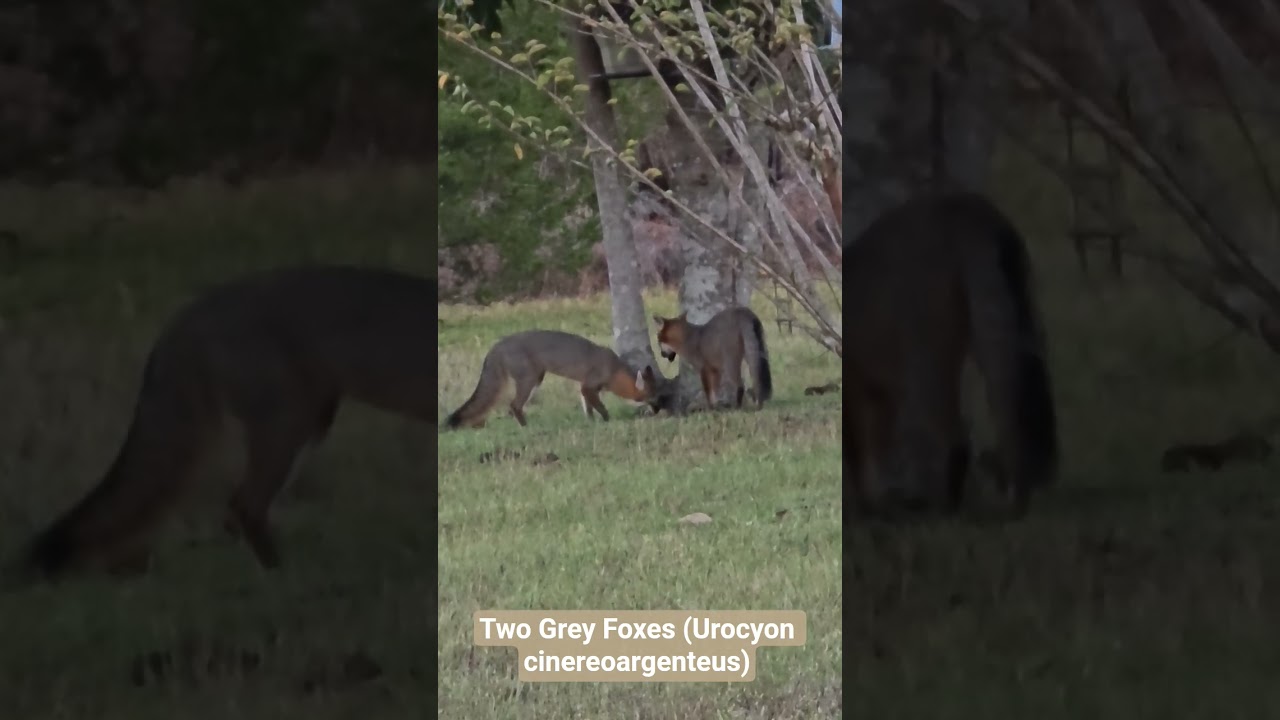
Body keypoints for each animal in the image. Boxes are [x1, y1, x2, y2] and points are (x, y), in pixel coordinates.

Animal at [14, 264, 435, 581]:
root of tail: (189, 311)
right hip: (289, 427)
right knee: (241, 507)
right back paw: (284, 579)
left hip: (310, 424)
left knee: (237, 513)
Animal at [443, 330, 659, 428]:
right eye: (652, 397)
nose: (658, 410)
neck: (614, 369)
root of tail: (497, 345)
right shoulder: (588, 386)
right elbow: (600, 407)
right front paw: (606, 420)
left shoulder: (585, 387)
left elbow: (588, 407)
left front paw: (590, 421)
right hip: (530, 380)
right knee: (513, 405)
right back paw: (526, 427)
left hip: (537, 380)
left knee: (513, 407)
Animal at [843, 191, 1059, 518]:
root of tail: (967, 208)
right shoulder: (881, 393)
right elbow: (877, 446)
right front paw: (879, 499)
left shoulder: (862, 385)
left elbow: (857, 451)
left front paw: (867, 503)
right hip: (1013, 322)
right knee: (1014, 398)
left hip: (924, 355)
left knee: (958, 437)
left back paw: (949, 506)